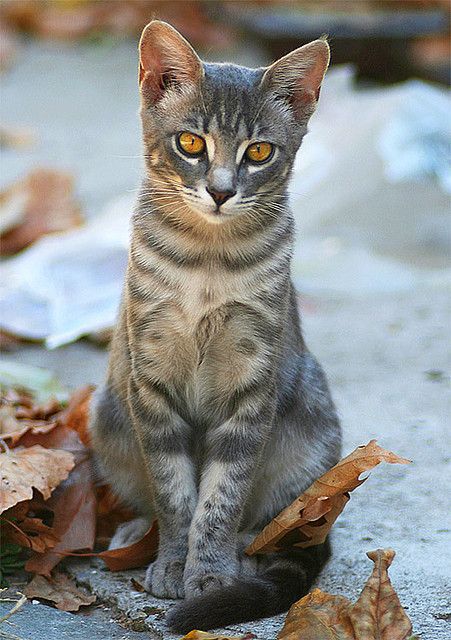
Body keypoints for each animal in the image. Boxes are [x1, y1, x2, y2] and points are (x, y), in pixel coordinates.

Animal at [89, 18, 342, 632]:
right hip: (108, 416)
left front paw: (209, 573)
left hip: (313, 431)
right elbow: (174, 492)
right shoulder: (150, 380)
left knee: (278, 525)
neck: (208, 263)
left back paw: (248, 552)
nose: (222, 190)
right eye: (191, 144)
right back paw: (134, 535)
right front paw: (173, 563)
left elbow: (222, 495)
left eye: (259, 151)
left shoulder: (253, 384)